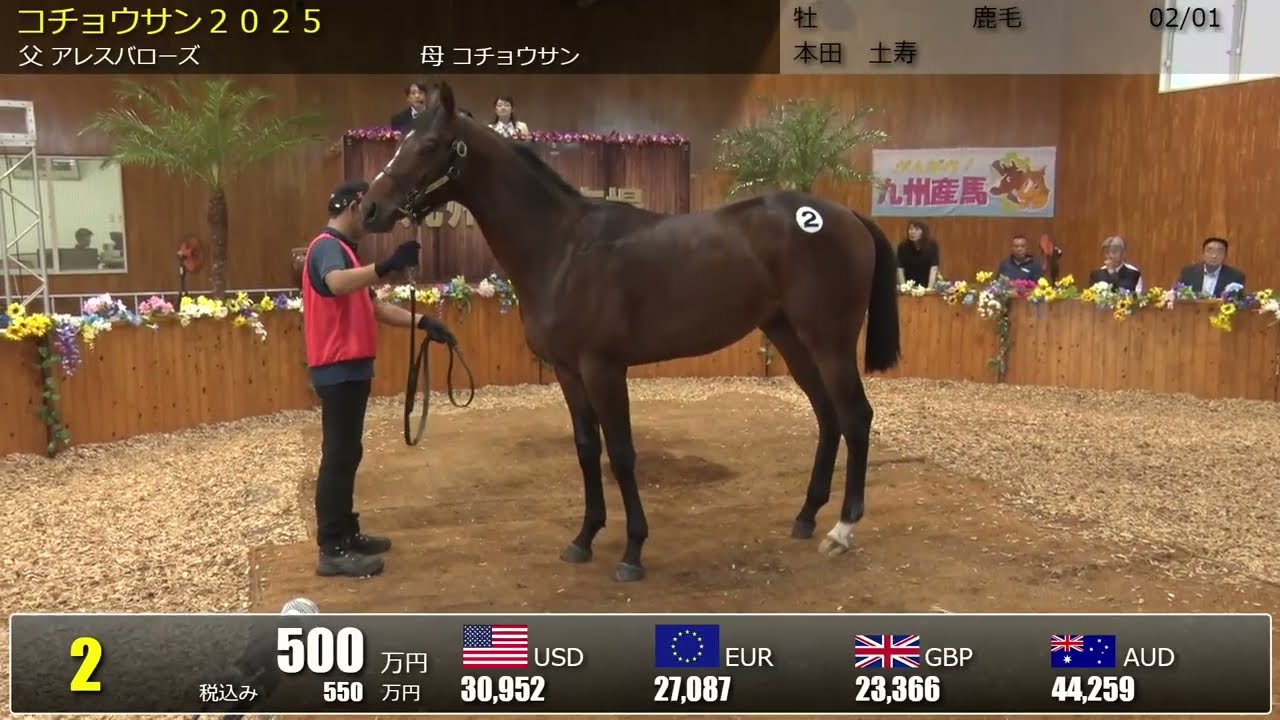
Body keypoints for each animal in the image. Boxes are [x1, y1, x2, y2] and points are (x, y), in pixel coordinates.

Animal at [360, 82, 902, 583]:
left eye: (429, 145)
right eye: (402, 138)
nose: (369, 209)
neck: (563, 248)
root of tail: (846, 215)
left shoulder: (604, 369)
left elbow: (620, 453)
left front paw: (632, 551)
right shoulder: (568, 371)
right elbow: (586, 449)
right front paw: (583, 538)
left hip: (828, 339)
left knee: (855, 416)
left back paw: (842, 530)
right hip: (789, 335)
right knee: (828, 415)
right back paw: (807, 516)